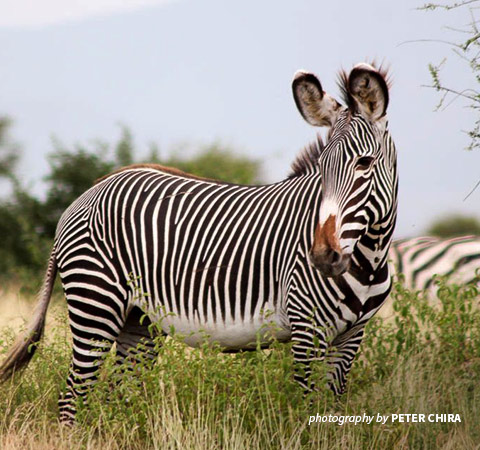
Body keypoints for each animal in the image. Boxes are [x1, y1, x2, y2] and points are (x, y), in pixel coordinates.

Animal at [0, 62, 398, 422]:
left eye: (364, 163)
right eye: (323, 167)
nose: (322, 257)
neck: (370, 256)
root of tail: (85, 195)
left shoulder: (352, 336)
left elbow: (333, 410)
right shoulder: (307, 329)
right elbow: (307, 410)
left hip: (138, 321)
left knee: (116, 396)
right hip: (95, 303)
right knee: (73, 397)